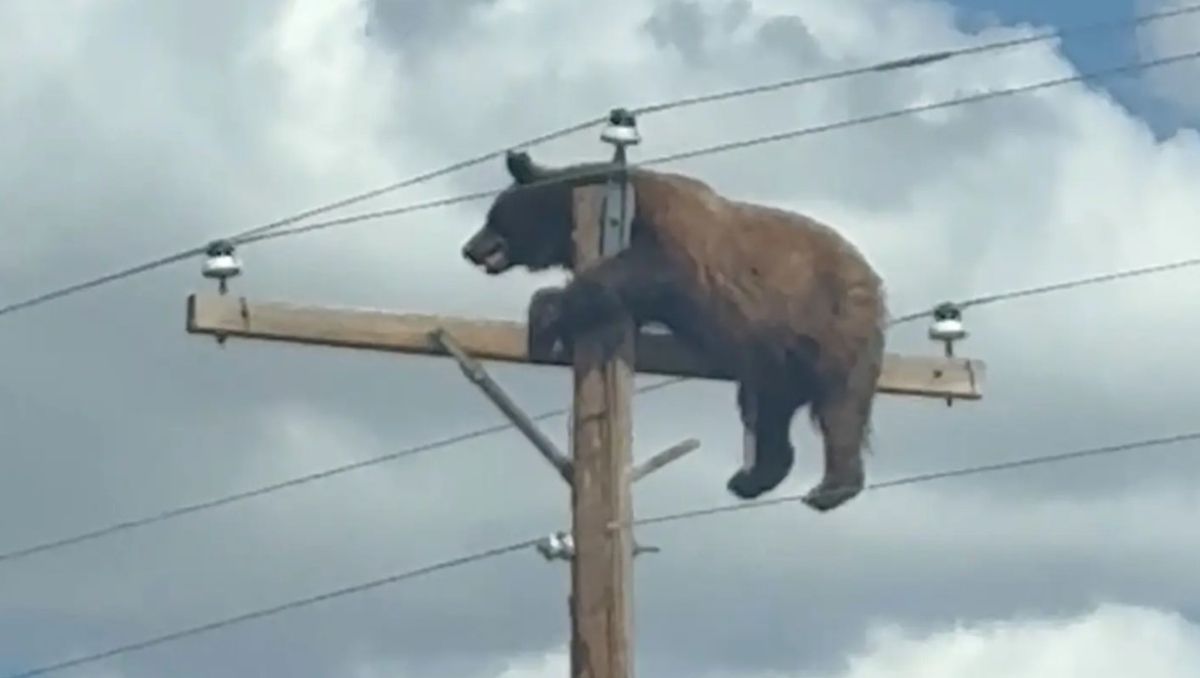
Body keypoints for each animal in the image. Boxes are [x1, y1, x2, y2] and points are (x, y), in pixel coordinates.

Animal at [461, 150, 887, 512]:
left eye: (493, 215)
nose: (469, 248)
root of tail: (872, 277)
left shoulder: (672, 234)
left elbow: (649, 268)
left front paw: (545, 311)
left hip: (832, 322)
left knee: (840, 404)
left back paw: (830, 487)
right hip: (774, 357)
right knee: (767, 411)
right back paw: (751, 477)